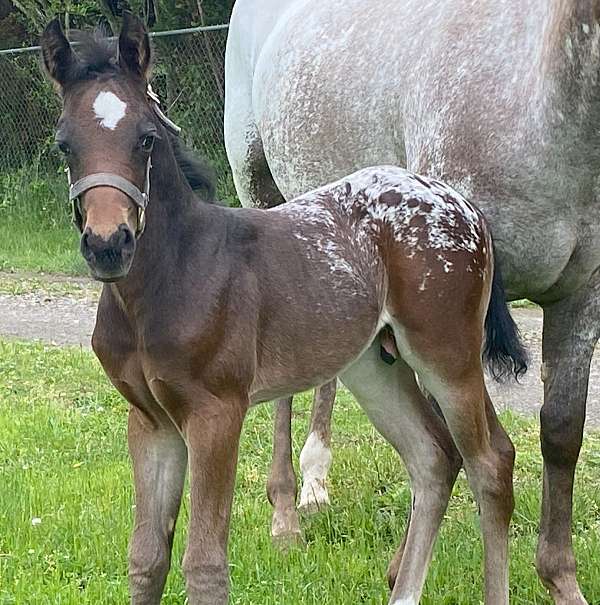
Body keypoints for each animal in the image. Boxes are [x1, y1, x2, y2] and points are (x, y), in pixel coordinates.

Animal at [41, 15, 524, 604]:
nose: (108, 244)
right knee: (433, 458)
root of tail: (461, 203)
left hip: (446, 355)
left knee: (489, 462)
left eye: (146, 139)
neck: (169, 276)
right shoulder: (150, 421)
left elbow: (204, 563)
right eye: (66, 145)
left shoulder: (216, 411)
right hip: (374, 366)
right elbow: (146, 558)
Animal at [224, 1, 600, 604]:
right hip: (264, 194)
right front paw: (401, 567)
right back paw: (285, 514)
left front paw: (560, 578)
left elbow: (562, 430)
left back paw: (315, 482)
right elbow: (449, 440)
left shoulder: (581, 294)